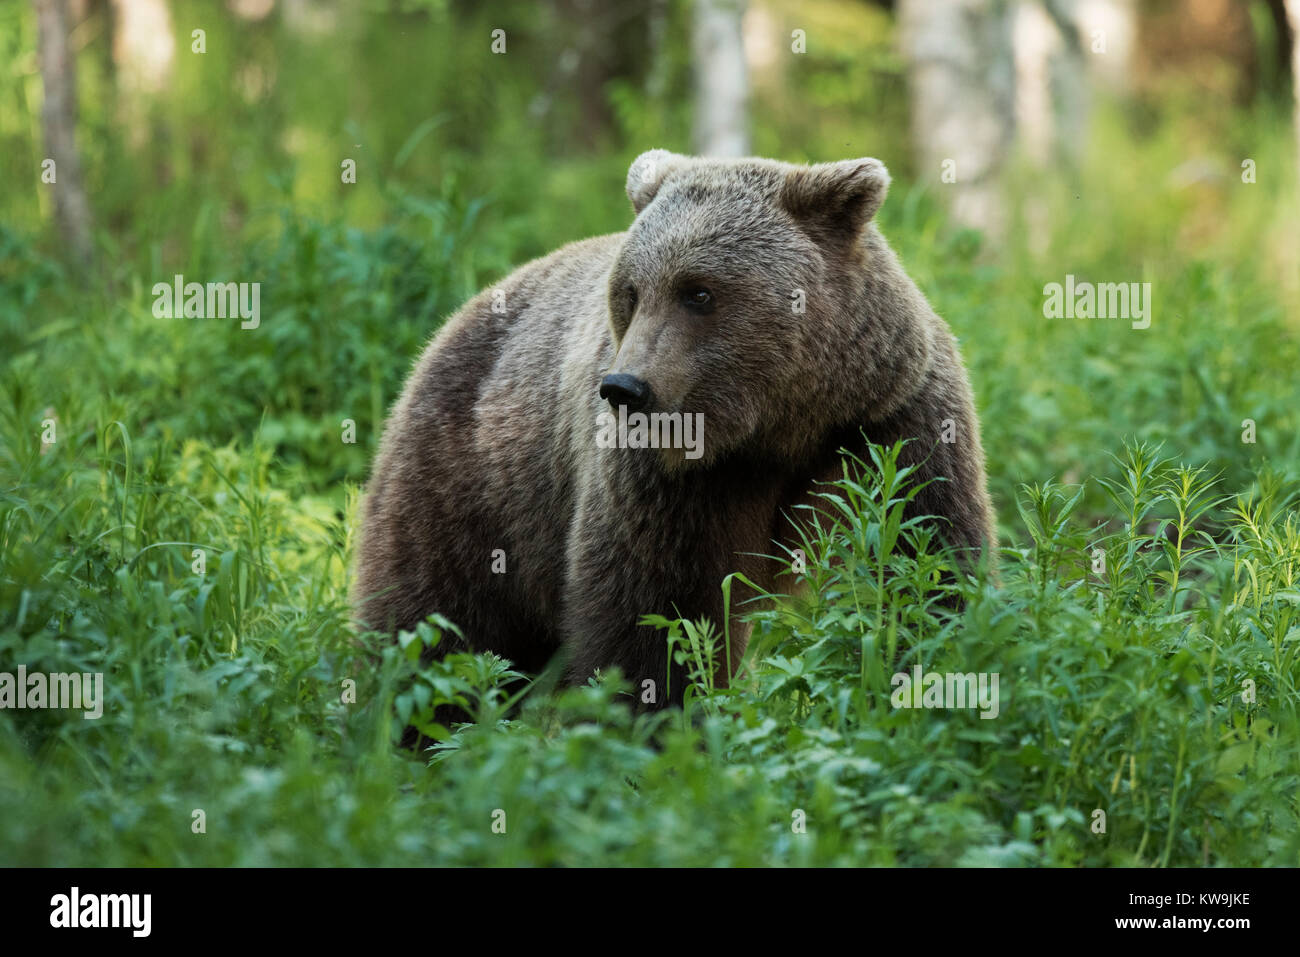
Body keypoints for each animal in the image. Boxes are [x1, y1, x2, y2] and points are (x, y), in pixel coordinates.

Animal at [351, 147, 987, 702]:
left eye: (698, 291)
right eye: (631, 291)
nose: (625, 388)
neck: (777, 428)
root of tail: (461, 314)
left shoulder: (890, 424)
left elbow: (926, 554)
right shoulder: (664, 480)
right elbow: (654, 612)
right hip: (472, 484)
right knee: (433, 623)